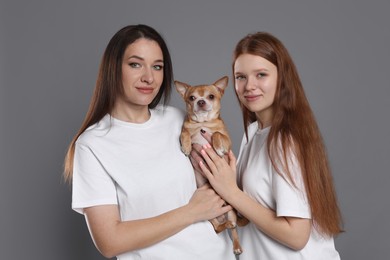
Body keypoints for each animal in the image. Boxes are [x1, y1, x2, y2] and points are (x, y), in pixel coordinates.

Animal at [176, 76, 248, 255]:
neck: (203, 123)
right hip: (209, 216)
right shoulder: (187, 128)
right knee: (218, 228)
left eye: (211, 96)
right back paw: (225, 225)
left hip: (230, 212)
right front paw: (186, 145)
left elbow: (216, 133)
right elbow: (184, 132)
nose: (201, 102)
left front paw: (218, 147)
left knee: (234, 231)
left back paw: (237, 246)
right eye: (191, 98)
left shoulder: (227, 141)